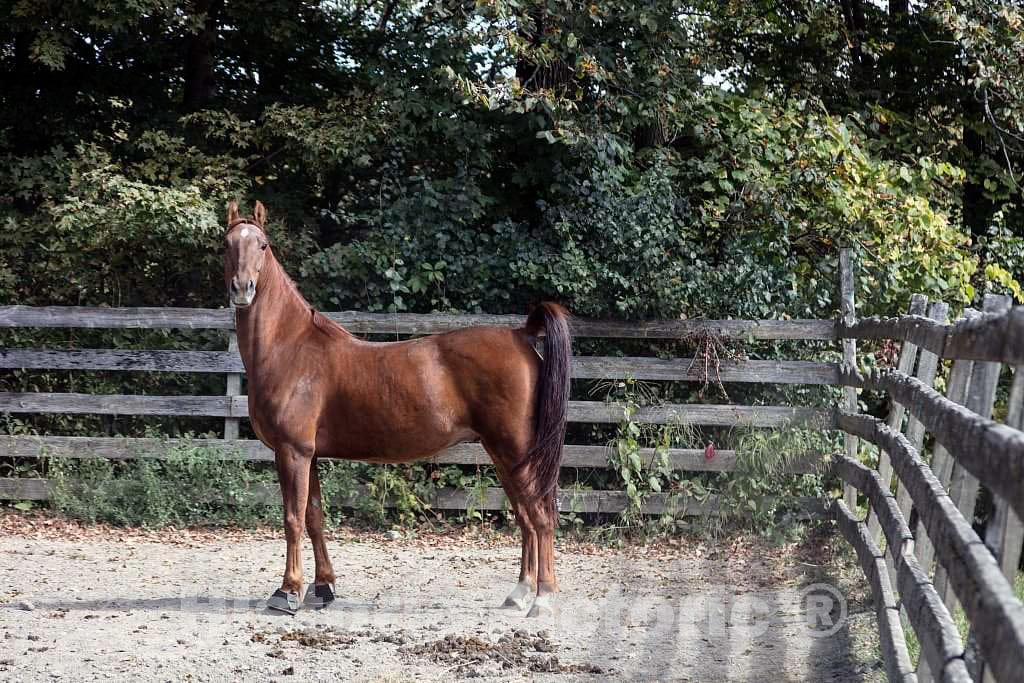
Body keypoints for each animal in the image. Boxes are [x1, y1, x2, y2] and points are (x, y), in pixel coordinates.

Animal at [224, 200, 573, 618]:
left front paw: (287, 592)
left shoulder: (292, 452)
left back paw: (544, 599)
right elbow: (314, 517)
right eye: (226, 244)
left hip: (516, 450)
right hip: (503, 454)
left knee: (541, 515)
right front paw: (323, 588)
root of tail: (521, 335)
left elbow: (292, 519)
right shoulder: (310, 455)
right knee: (525, 517)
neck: (291, 349)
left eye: (262, 245)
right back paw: (519, 593)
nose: (242, 290)